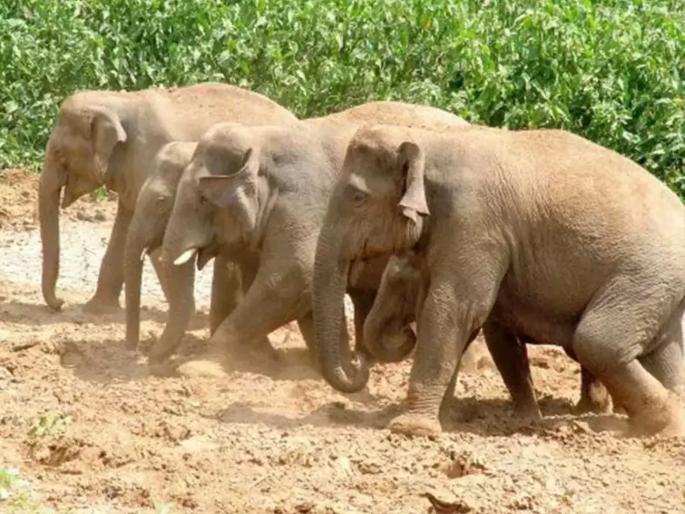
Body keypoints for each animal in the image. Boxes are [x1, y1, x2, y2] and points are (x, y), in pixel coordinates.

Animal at [39, 82, 296, 313]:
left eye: (59, 152)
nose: (60, 303)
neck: (120, 100)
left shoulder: (150, 157)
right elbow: (125, 228)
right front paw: (95, 310)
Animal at [160, 102, 469, 376]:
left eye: (202, 198)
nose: (154, 362)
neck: (261, 138)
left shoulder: (303, 205)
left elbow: (293, 276)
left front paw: (197, 366)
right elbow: (308, 291)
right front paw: (324, 365)